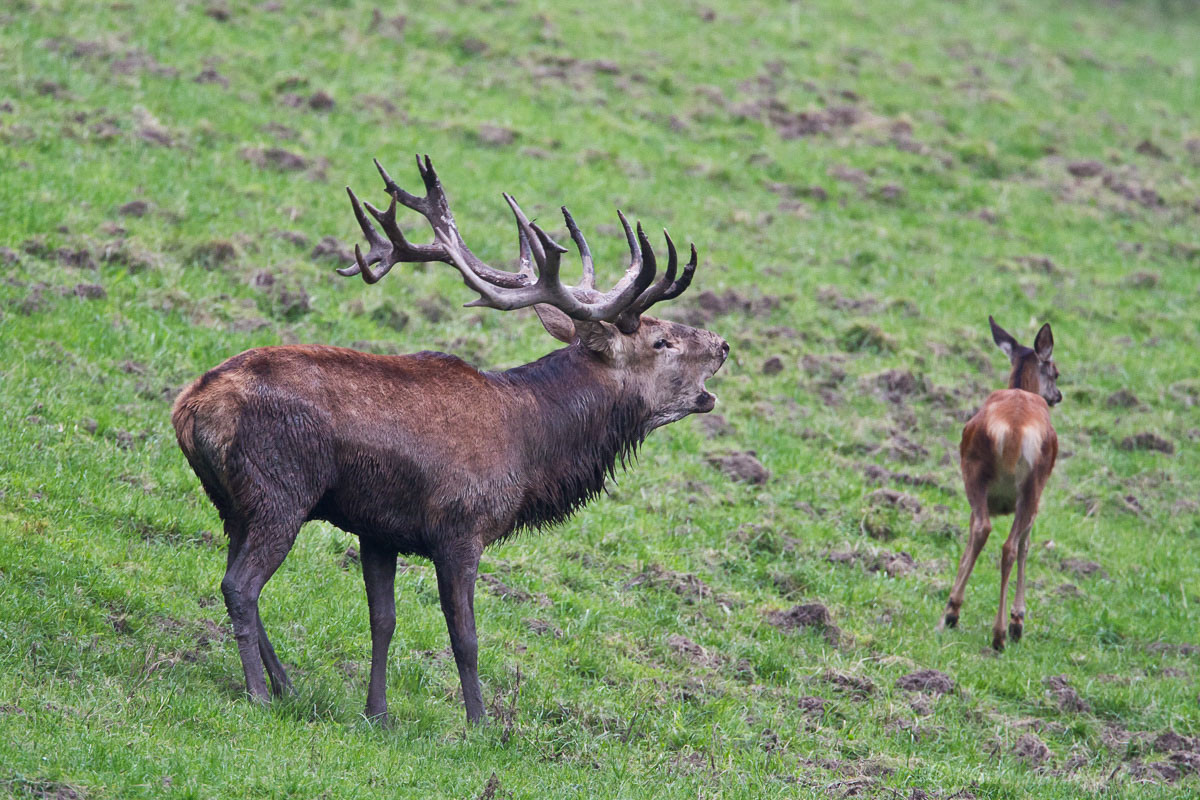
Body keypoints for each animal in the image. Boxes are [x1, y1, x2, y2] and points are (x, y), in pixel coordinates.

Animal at [172, 155, 724, 724]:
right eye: (661, 340)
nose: (723, 344)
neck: (532, 448)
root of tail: (191, 408)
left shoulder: (379, 529)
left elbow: (383, 621)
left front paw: (377, 713)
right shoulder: (461, 526)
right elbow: (466, 637)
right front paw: (481, 723)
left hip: (233, 502)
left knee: (233, 575)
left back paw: (288, 686)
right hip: (280, 491)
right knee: (240, 585)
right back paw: (260, 693)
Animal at [936, 316, 1060, 652]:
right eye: (1055, 371)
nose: (1058, 395)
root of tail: (1014, 431)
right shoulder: (1038, 498)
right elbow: (1027, 545)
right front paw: (1019, 619)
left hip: (975, 472)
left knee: (983, 529)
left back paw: (958, 612)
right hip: (1029, 484)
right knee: (1008, 544)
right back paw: (999, 630)